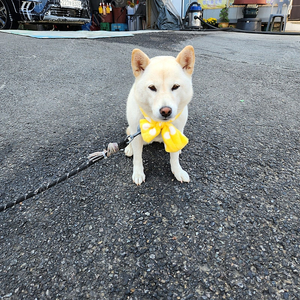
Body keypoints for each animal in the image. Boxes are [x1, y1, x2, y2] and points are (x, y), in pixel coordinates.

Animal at [124, 45, 195, 184]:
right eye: (152, 87)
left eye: (175, 86)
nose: (166, 111)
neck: (159, 123)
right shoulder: (137, 133)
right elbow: (138, 158)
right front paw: (138, 173)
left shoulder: (175, 132)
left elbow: (174, 157)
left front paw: (177, 171)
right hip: (132, 130)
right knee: (129, 137)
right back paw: (129, 148)